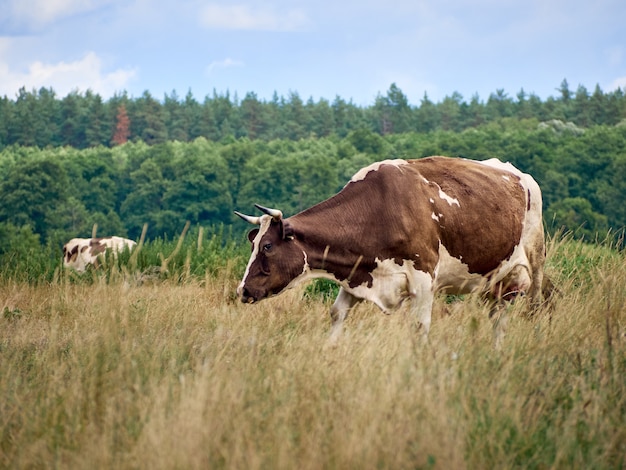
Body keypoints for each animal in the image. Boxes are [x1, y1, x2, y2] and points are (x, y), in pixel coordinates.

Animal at [234, 156, 544, 344]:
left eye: (267, 246)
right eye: (253, 243)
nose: (243, 290)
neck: (379, 210)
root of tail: (520, 174)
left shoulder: (424, 279)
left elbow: (420, 327)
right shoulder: (357, 273)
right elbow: (336, 314)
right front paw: (330, 350)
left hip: (534, 263)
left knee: (531, 307)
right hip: (496, 280)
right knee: (498, 316)